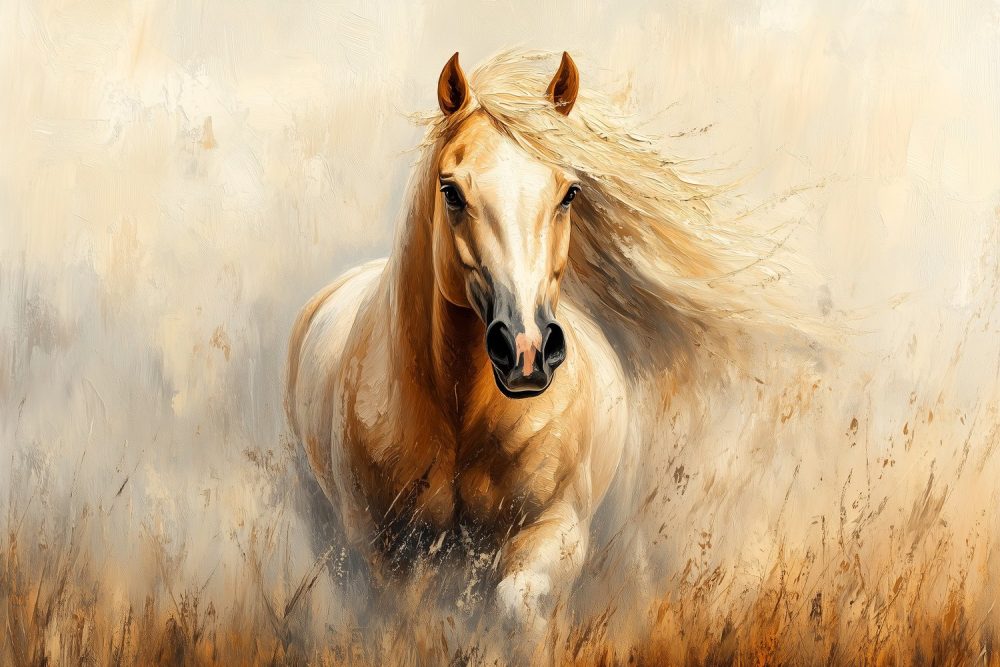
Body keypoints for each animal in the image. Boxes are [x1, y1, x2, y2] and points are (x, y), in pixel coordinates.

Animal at [285, 50, 788, 641]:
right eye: (451, 191)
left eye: (569, 192)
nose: (526, 351)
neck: (459, 414)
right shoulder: (390, 556)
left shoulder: (554, 533)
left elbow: (518, 605)